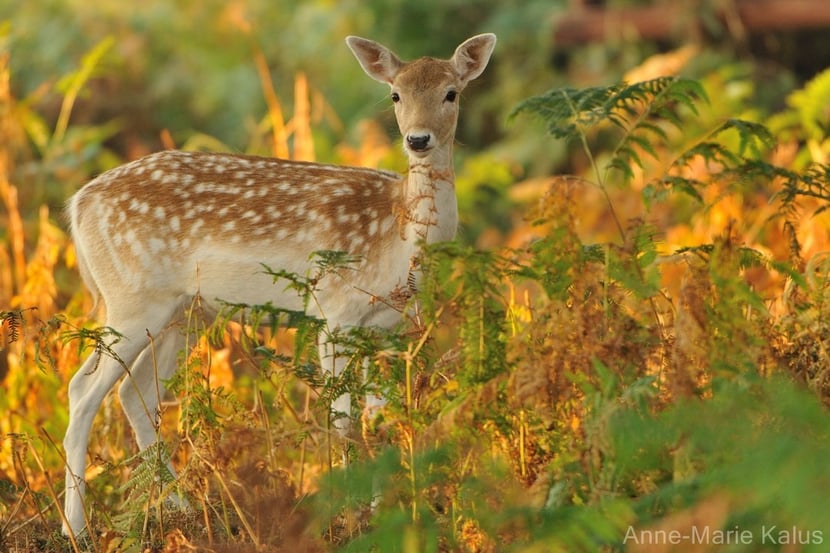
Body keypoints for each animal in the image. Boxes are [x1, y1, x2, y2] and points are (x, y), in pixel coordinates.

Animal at [61, 33, 496, 535]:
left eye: (451, 93)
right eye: (395, 95)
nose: (418, 139)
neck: (398, 239)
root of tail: (79, 203)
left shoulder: (382, 327)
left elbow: (376, 413)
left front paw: (377, 511)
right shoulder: (335, 310)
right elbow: (342, 419)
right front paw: (347, 518)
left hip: (183, 312)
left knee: (136, 396)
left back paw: (183, 510)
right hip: (131, 299)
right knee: (83, 391)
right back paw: (76, 528)